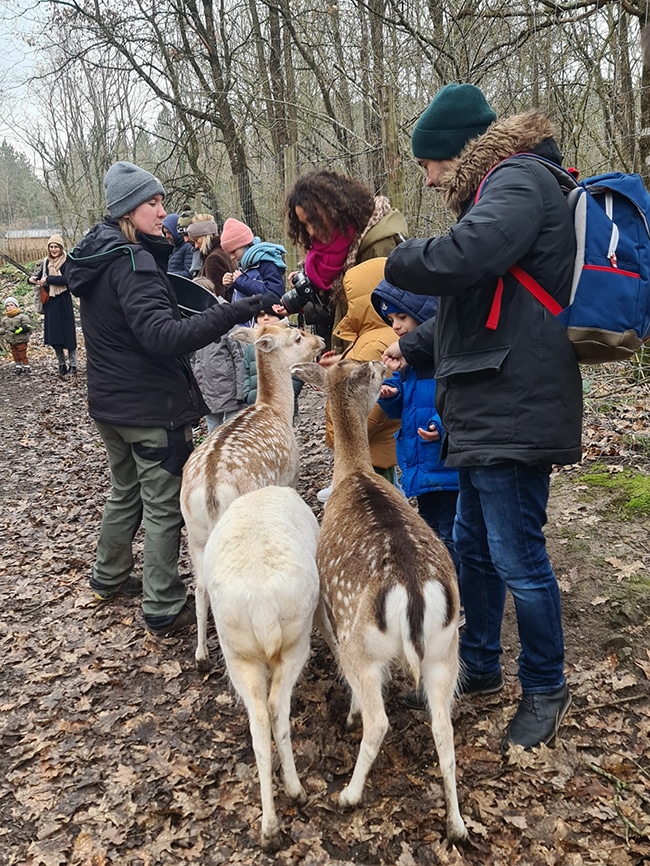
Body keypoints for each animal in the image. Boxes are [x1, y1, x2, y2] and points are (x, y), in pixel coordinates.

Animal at [180, 320, 324, 672]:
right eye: (297, 337)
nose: (320, 339)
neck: (276, 410)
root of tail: (210, 487)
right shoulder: (290, 478)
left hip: (194, 533)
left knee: (201, 585)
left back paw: (201, 655)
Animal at [200, 486, 316, 852]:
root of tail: (262, 606)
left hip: (241, 653)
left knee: (263, 720)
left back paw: (274, 822)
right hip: (290, 642)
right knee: (274, 710)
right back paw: (289, 800)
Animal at [290, 358, 466, 844]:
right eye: (360, 369)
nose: (384, 363)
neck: (353, 472)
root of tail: (413, 591)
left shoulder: (335, 612)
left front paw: (347, 714)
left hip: (363, 644)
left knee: (379, 719)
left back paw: (349, 793)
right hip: (446, 648)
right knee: (443, 727)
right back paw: (457, 825)